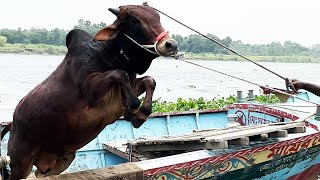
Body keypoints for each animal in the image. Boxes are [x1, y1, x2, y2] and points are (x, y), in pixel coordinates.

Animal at [3, 4, 178, 179]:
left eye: (158, 17)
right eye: (134, 20)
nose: (171, 44)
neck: (108, 55)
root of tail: (12, 124)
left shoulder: (131, 84)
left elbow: (150, 80)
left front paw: (141, 113)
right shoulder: (91, 90)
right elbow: (118, 74)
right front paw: (133, 109)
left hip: (58, 163)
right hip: (20, 163)